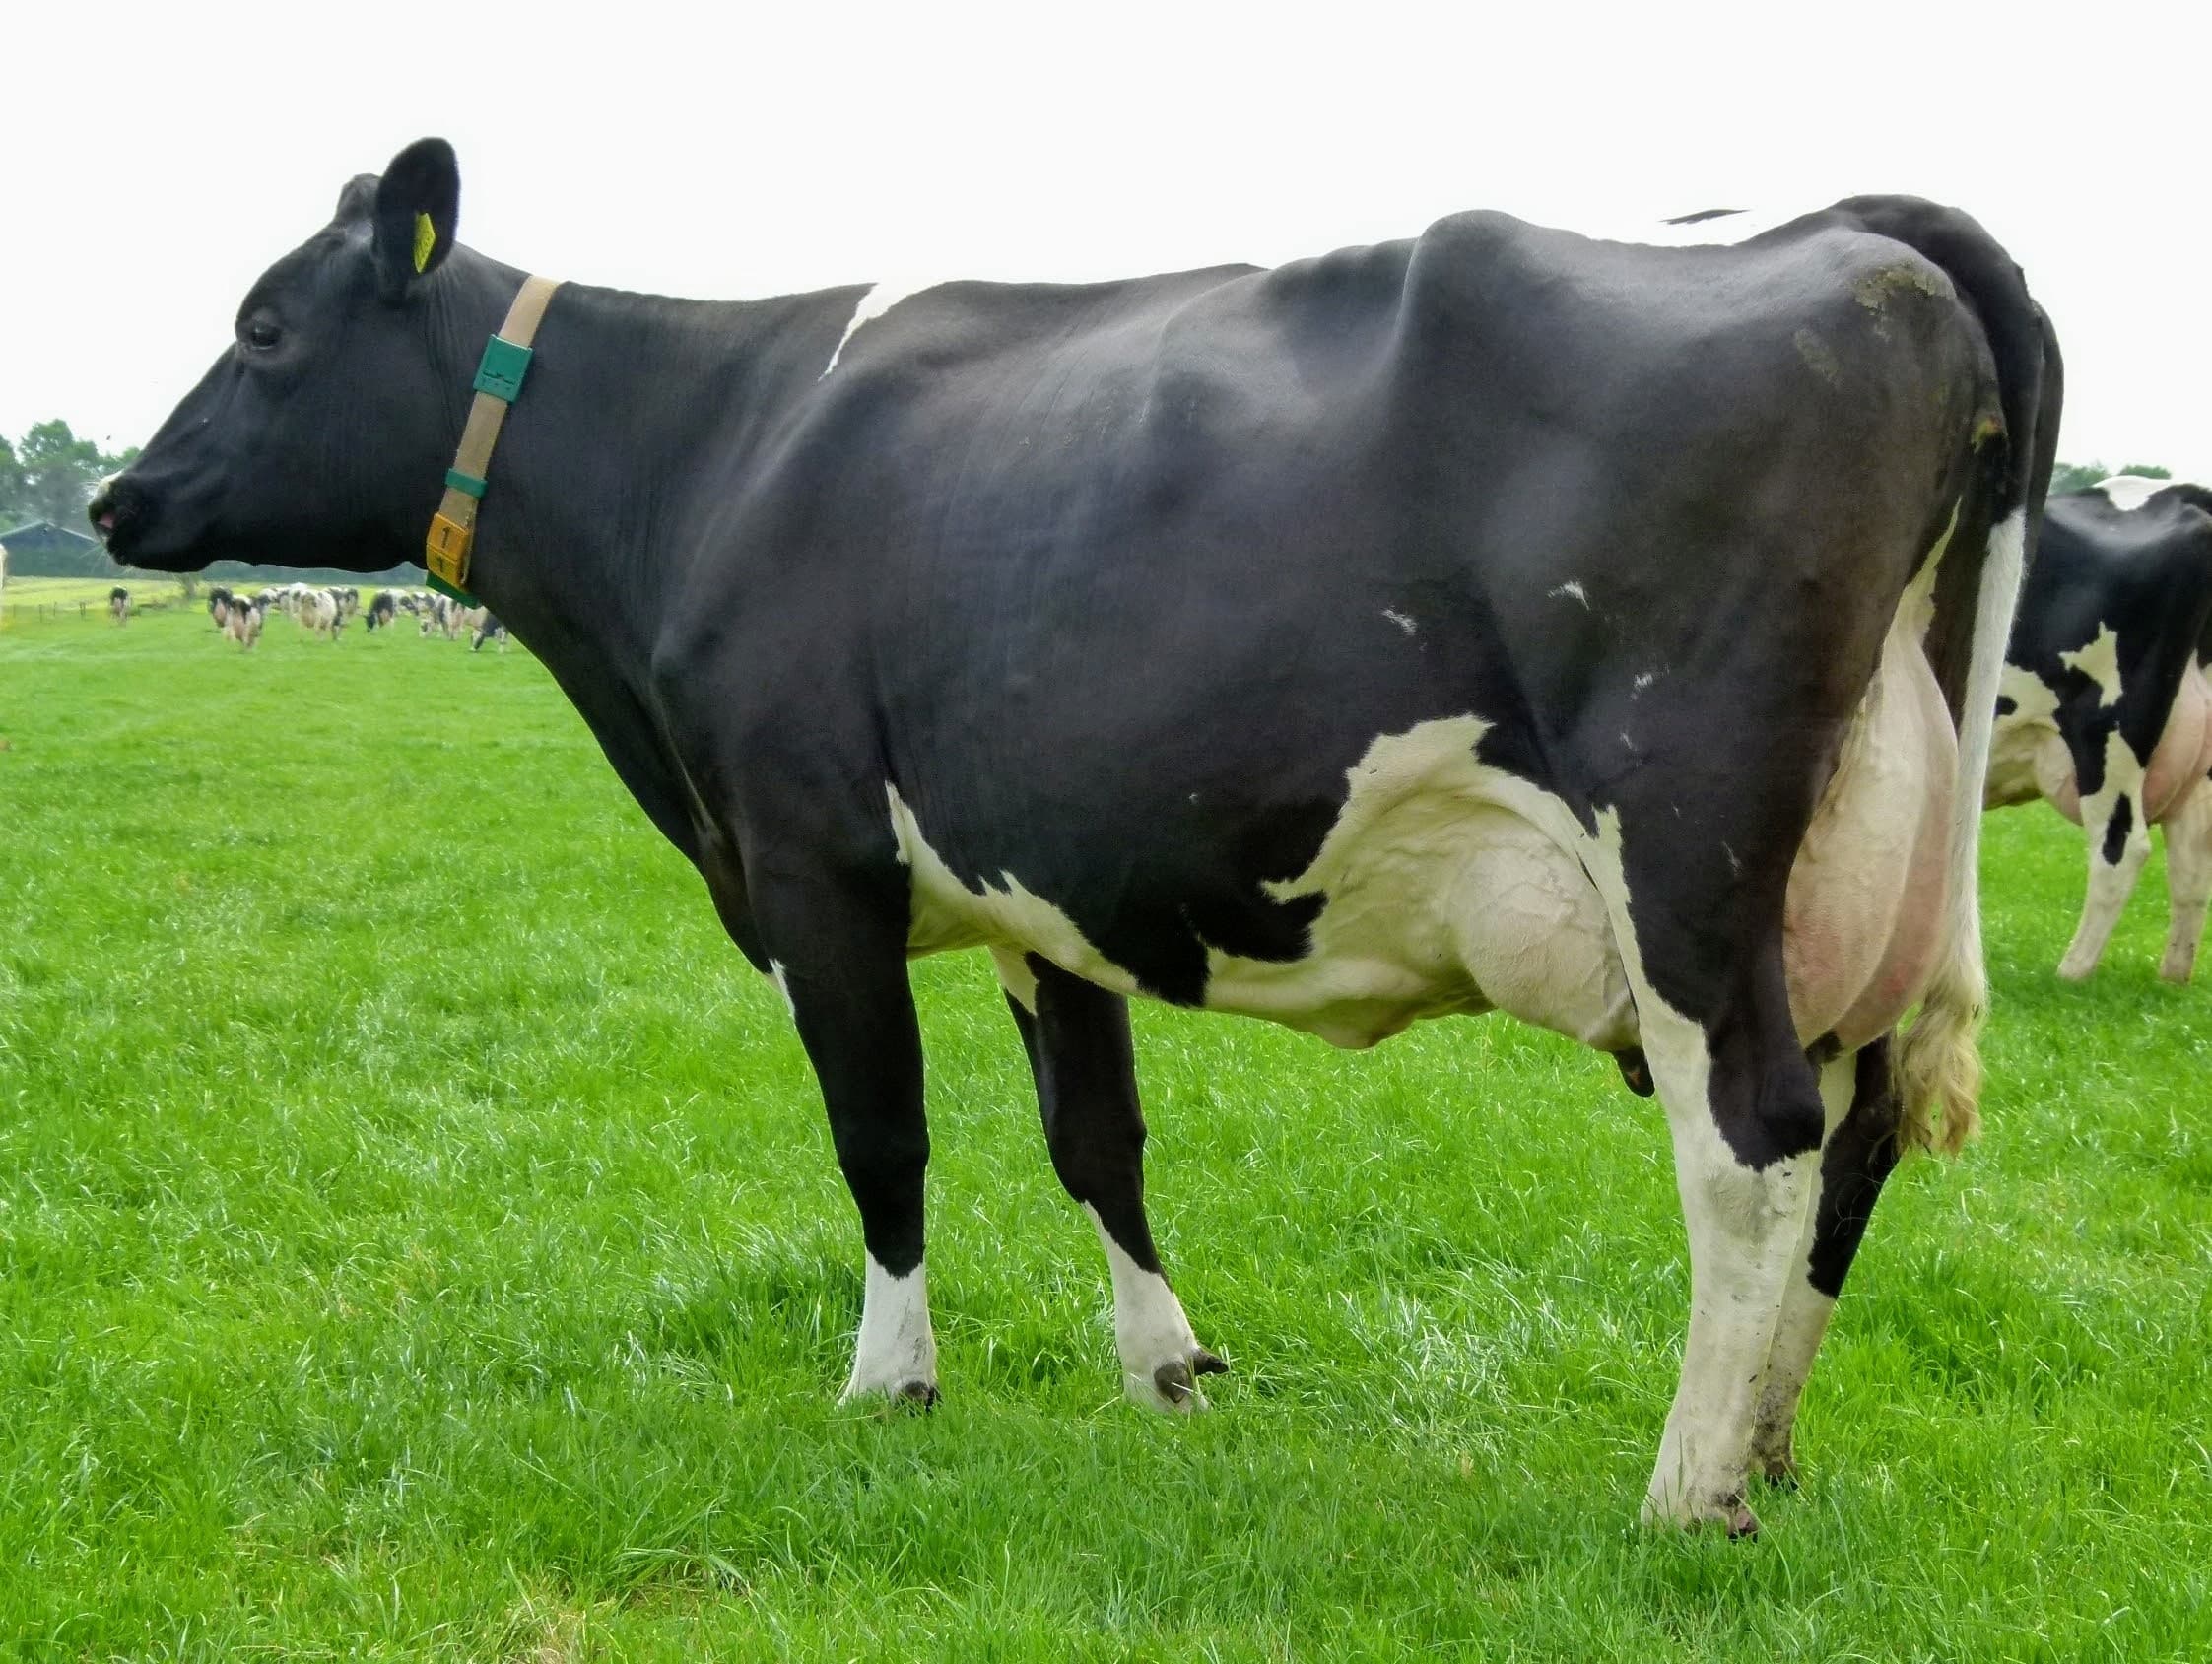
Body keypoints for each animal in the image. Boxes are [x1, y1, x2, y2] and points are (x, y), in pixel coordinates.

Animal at [89, 140, 2059, 1535]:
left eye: (264, 328)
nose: (113, 498)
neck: (711, 449)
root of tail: (1855, 225)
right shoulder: (1047, 894)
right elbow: (1096, 1140)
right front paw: (1167, 1365)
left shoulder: (811, 863)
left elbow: (882, 1138)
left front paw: (891, 1381)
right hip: (1864, 861)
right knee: (1861, 1133)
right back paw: (1773, 1443)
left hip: (1690, 856)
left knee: (1756, 1144)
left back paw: (1688, 1486)